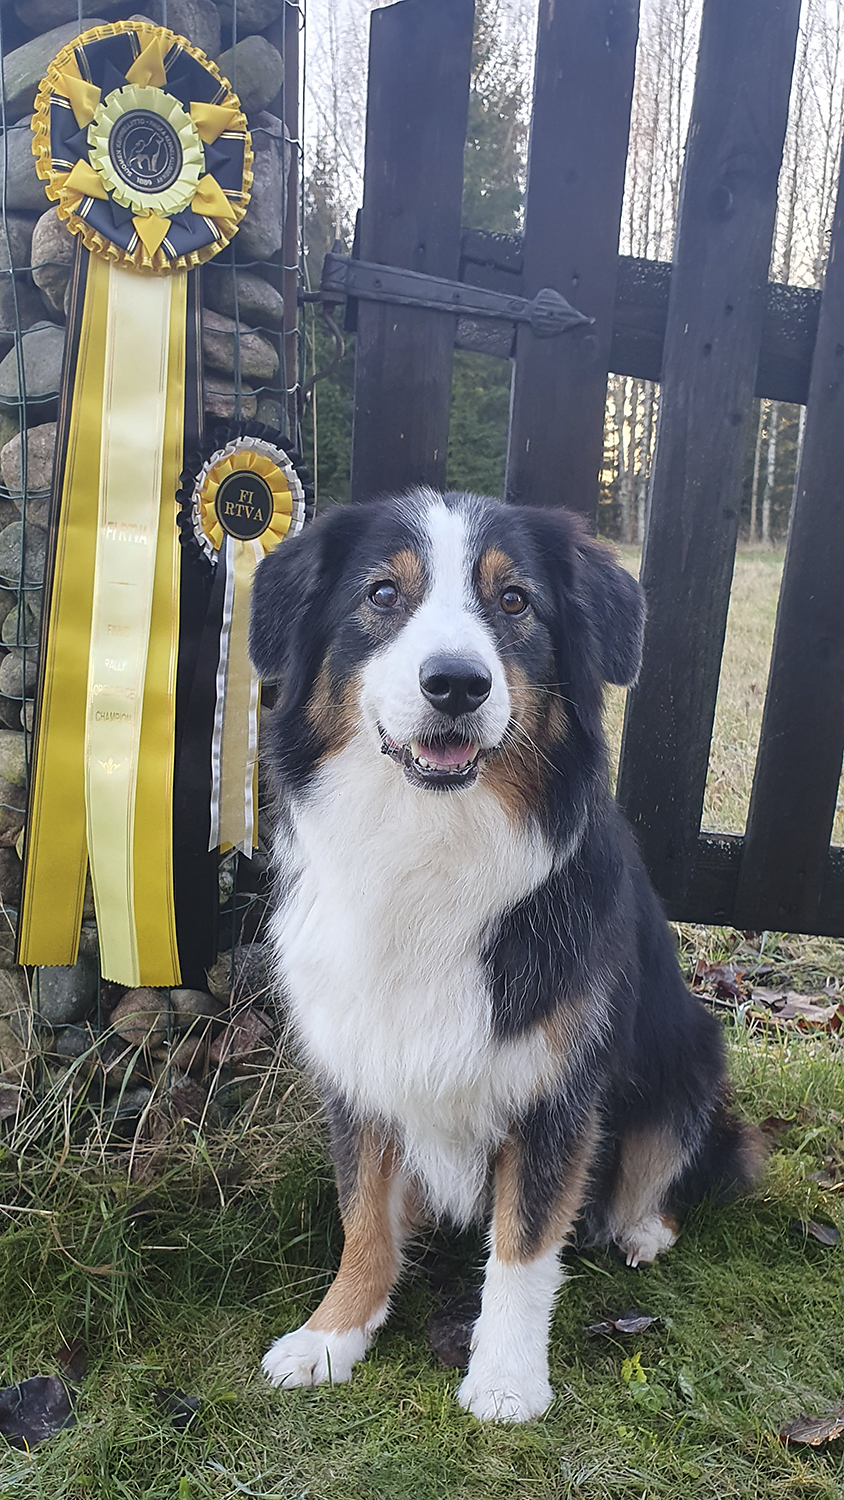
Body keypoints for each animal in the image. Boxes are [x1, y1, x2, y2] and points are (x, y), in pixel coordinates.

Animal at [248, 488, 764, 1423]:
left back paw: (642, 1227)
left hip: (691, 1059)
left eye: (516, 600)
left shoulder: (556, 1089)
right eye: (382, 594)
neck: (430, 845)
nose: (456, 683)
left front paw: (506, 1377)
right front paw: (333, 1333)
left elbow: (524, 1242)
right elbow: (362, 1217)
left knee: (678, 1167)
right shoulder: (358, 1065)